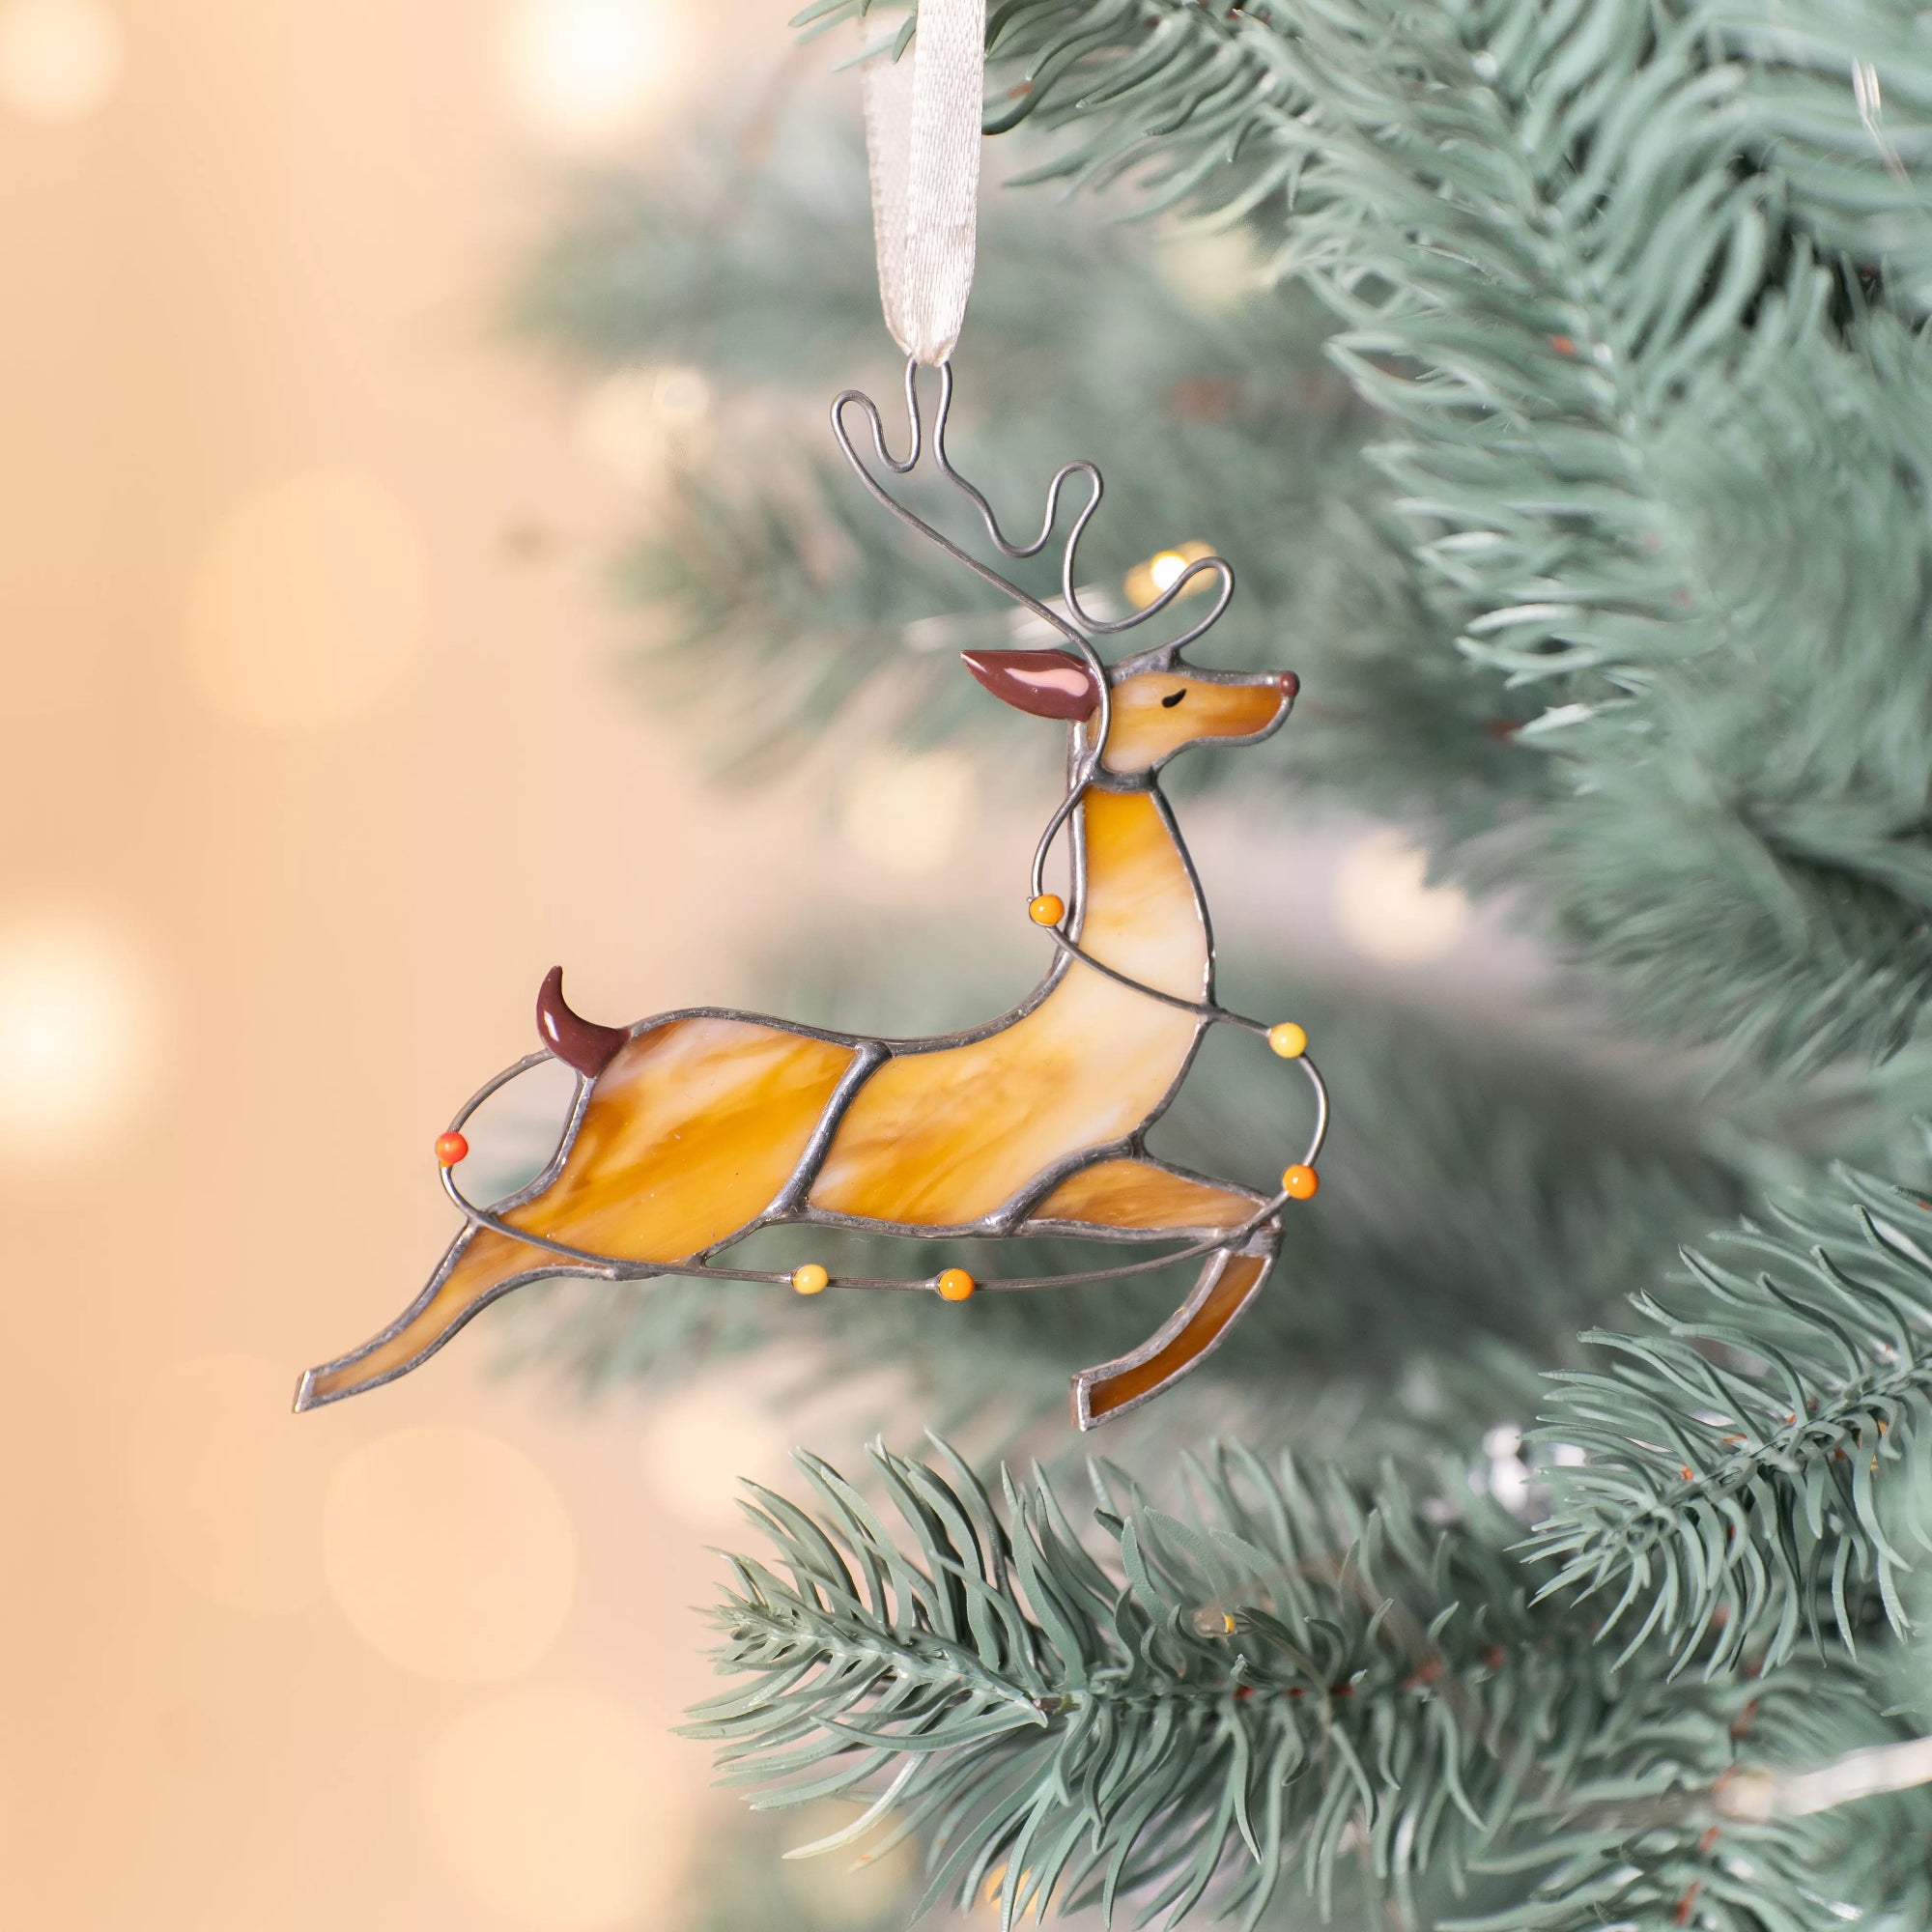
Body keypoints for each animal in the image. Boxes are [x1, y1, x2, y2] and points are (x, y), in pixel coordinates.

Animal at [296, 362, 1328, 1428]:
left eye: (1185, 665)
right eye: (1169, 696)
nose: (1284, 683)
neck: (1108, 1020)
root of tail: (601, 1042)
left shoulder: (1091, 1175)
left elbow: (1258, 1220)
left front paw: (1117, 1382)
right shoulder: (1054, 1181)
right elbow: (1246, 1219)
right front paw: (1118, 1382)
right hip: (648, 1208)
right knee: (492, 1239)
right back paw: (339, 1375)